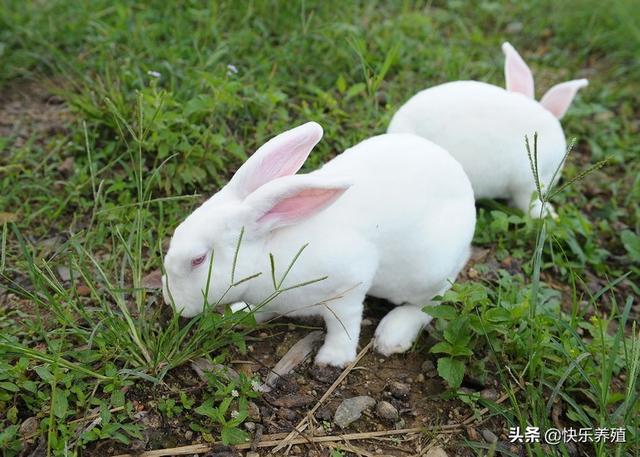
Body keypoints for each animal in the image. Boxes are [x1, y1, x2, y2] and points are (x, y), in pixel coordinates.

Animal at [165, 122, 476, 366]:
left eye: (198, 259)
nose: (171, 303)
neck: (269, 248)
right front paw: (240, 314)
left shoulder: (349, 286)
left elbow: (343, 324)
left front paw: (332, 358)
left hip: (427, 272)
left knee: (431, 301)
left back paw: (393, 334)